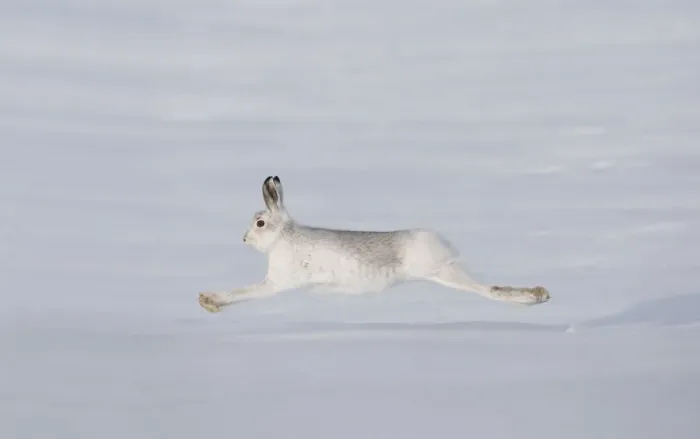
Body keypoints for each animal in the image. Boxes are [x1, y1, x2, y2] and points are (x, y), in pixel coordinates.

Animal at [198, 176, 550, 313]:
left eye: (259, 223)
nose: (244, 239)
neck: (284, 236)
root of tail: (443, 245)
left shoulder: (276, 283)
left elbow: (244, 292)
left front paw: (210, 301)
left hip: (439, 272)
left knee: (487, 290)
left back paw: (534, 297)